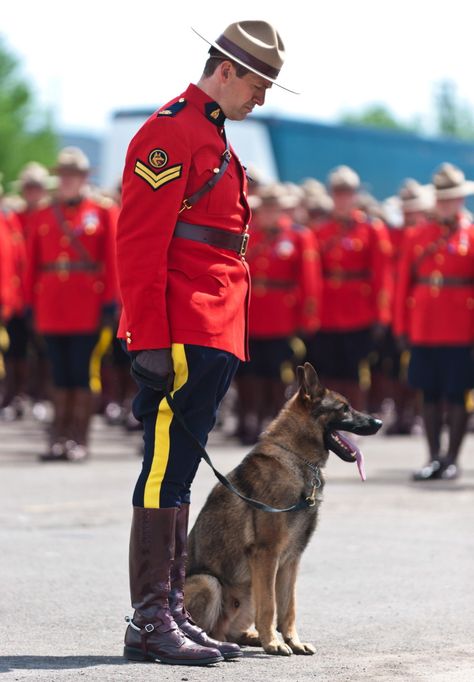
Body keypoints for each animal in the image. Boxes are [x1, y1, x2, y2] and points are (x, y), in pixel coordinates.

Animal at [185, 362, 382, 652]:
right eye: (344, 408)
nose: (379, 422)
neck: (296, 458)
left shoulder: (291, 560)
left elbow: (288, 607)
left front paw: (292, 641)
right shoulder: (267, 555)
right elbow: (270, 605)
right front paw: (274, 643)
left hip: (247, 593)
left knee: (232, 632)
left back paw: (251, 638)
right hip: (208, 582)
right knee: (213, 628)